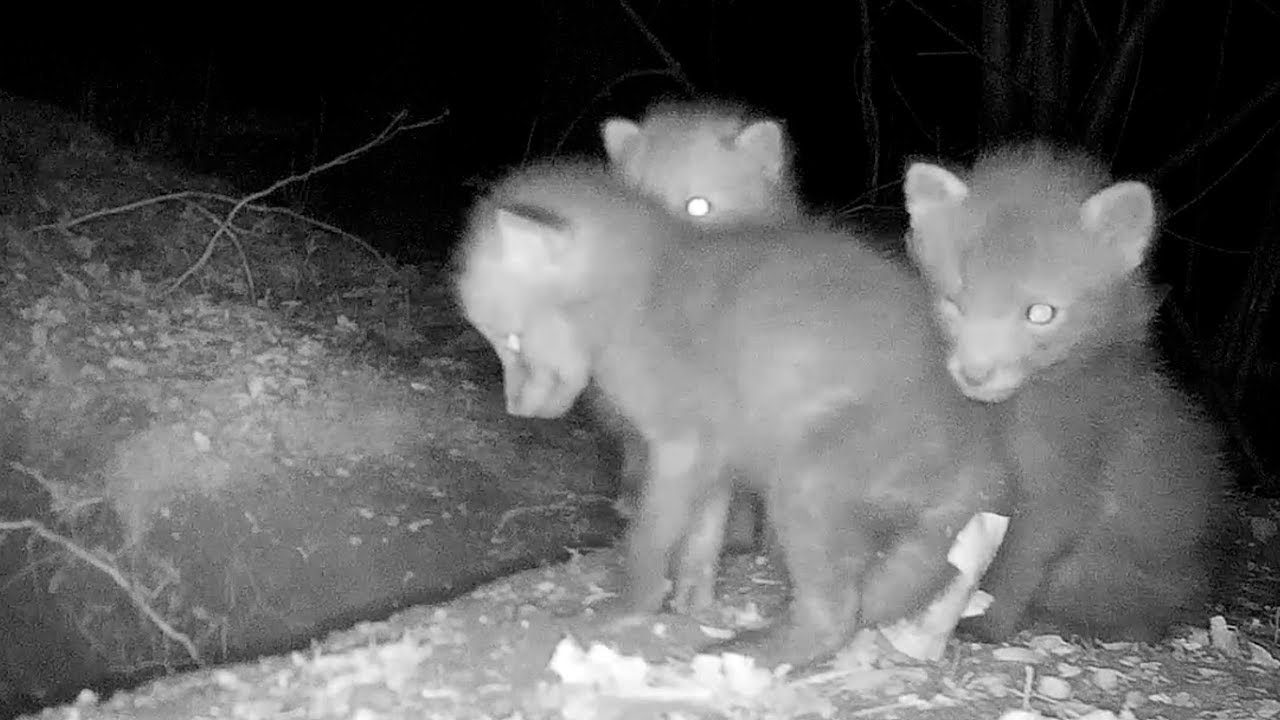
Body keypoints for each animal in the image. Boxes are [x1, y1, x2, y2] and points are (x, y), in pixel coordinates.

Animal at [455, 159, 1007, 669]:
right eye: (498, 343)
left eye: (512, 340)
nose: (515, 409)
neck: (636, 299)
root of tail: (984, 455)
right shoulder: (715, 454)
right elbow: (702, 542)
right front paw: (690, 604)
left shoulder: (681, 443)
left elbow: (648, 541)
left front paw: (625, 609)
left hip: (804, 481)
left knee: (836, 614)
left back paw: (754, 654)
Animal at [903, 143, 1227, 643]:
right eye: (955, 304)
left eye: (1040, 313)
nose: (975, 374)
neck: (1013, 415)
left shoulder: (1063, 487)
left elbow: (1016, 562)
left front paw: (984, 623)